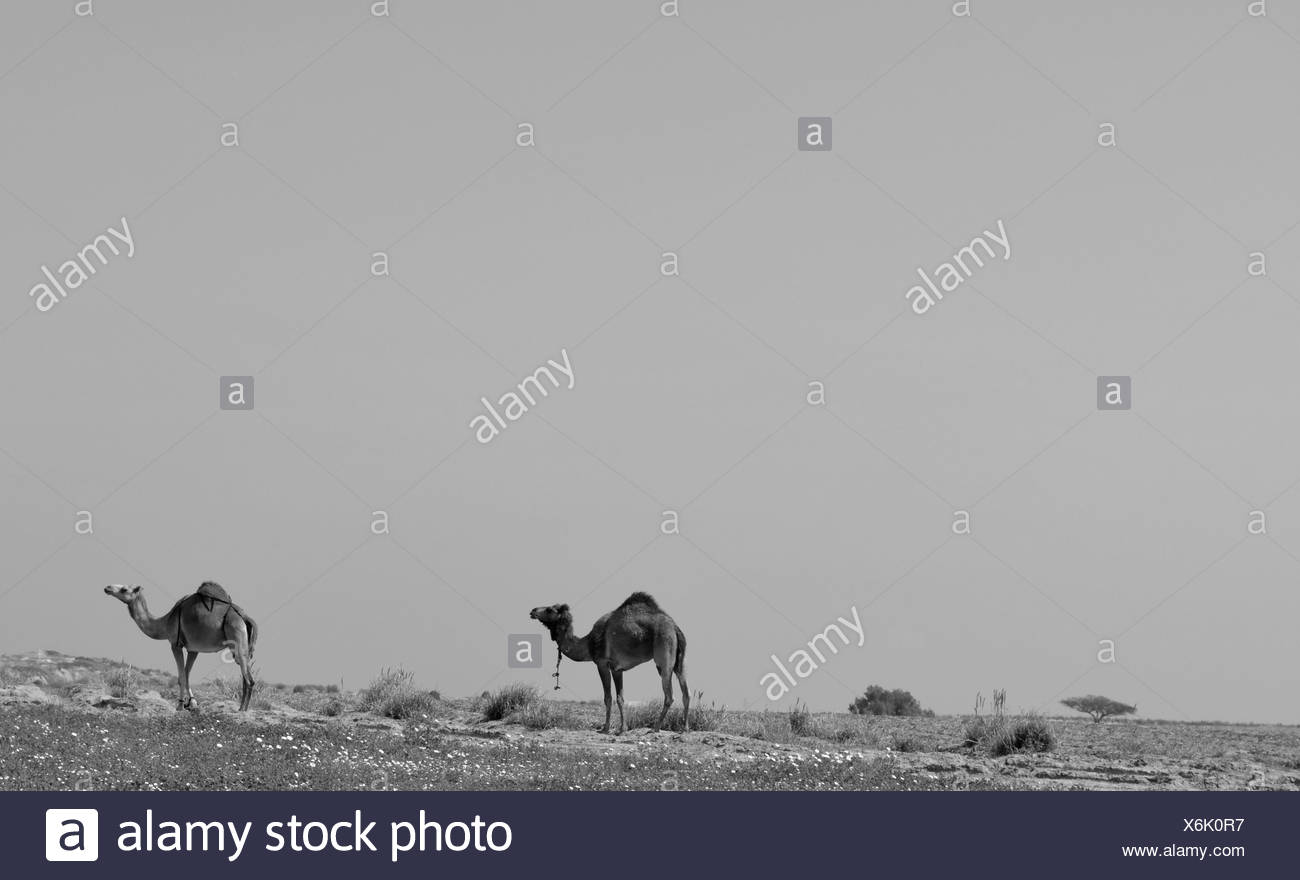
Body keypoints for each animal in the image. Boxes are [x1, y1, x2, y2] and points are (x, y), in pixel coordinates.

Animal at [103, 581, 258, 711]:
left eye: (124, 589)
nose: (107, 588)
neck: (165, 622)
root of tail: (245, 617)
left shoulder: (175, 644)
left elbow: (181, 676)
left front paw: (180, 706)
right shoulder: (193, 649)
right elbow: (187, 674)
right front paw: (192, 703)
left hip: (236, 635)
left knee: (248, 678)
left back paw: (242, 709)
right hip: (244, 645)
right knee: (247, 675)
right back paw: (243, 708)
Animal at [530, 591, 688, 735]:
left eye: (550, 609)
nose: (533, 611)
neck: (588, 644)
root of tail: (675, 627)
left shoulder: (602, 664)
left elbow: (608, 698)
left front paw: (605, 728)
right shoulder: (617, 669)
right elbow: (620, 698)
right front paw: (622, 728)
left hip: (664, 651)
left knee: (669, 695)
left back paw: (656, 728)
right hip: (679, 660)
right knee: (686, 691)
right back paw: (684, 728)